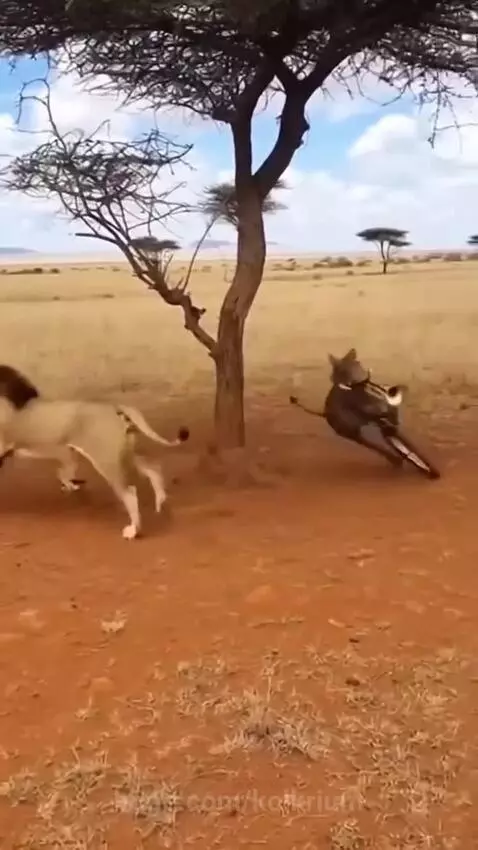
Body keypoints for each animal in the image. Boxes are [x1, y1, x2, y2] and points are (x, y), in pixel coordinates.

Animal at [0, 365, 189, 540]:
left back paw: (133, 531)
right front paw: (71, 484)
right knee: (152, 467)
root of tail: (114, 407)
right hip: (123, 453)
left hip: (106, 461)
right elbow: (64, 473)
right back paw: (160, 502)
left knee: (130, 493)